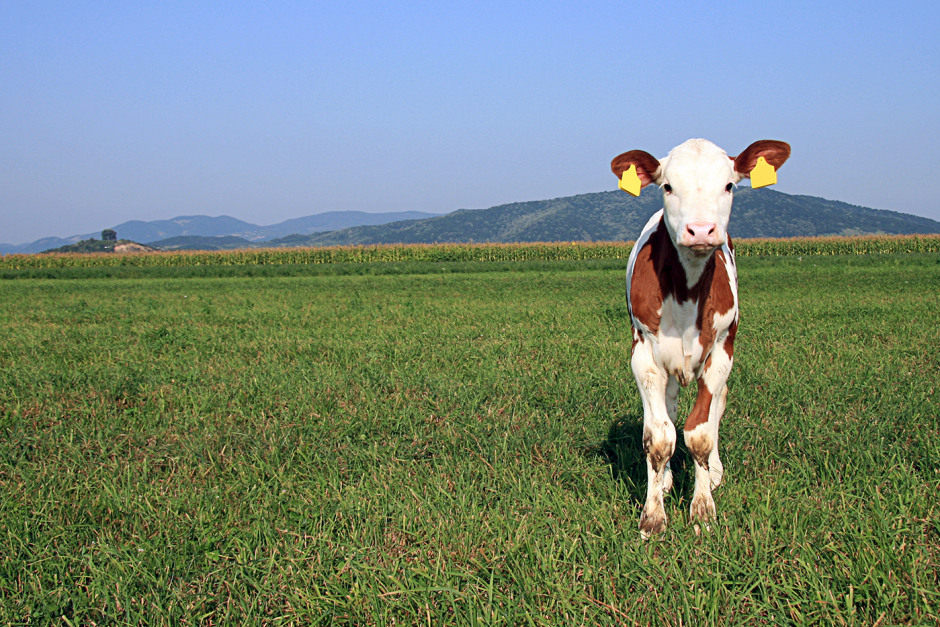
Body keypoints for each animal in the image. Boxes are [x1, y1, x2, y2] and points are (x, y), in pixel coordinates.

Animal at [611, 138, 790, 537]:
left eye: (729, 185)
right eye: (667, 186)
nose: (701, 230)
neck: (687, 290)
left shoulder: (722, 350)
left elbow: (701, 432)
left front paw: (703, 509)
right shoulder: (642, 353)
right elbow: (659, 436)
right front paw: (653, 516)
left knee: (717, 406)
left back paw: (714, 473)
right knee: (668, 410)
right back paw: (664, 479)